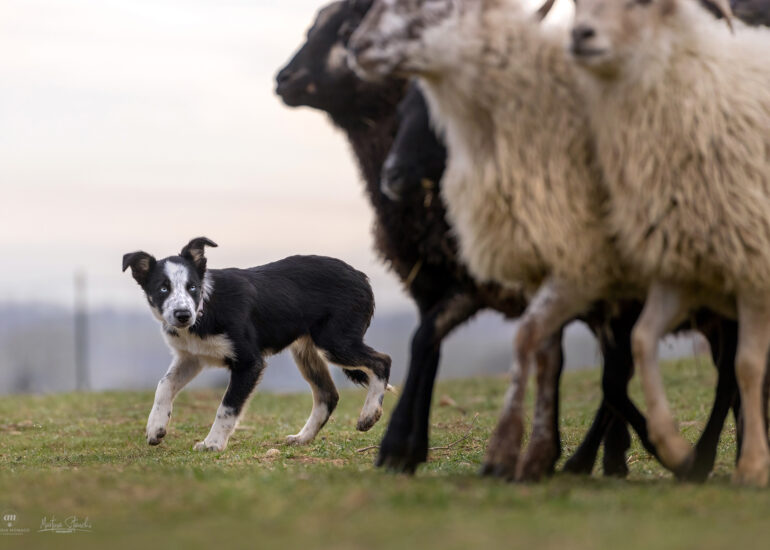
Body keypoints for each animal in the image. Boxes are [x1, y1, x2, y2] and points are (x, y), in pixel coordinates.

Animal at [349, 0, 751, 481]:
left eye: (436, 122)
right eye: (403, 113)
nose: (390, 176)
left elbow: (601, 373)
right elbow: (440, 337)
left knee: (727, 372)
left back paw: (706, 454)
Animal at [569, 0, 770, 486]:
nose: (580, 35)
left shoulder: (752, 266)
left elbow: (747, 366)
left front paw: (751, 464)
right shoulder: (678, 267)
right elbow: (638, 348)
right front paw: (670, 449)